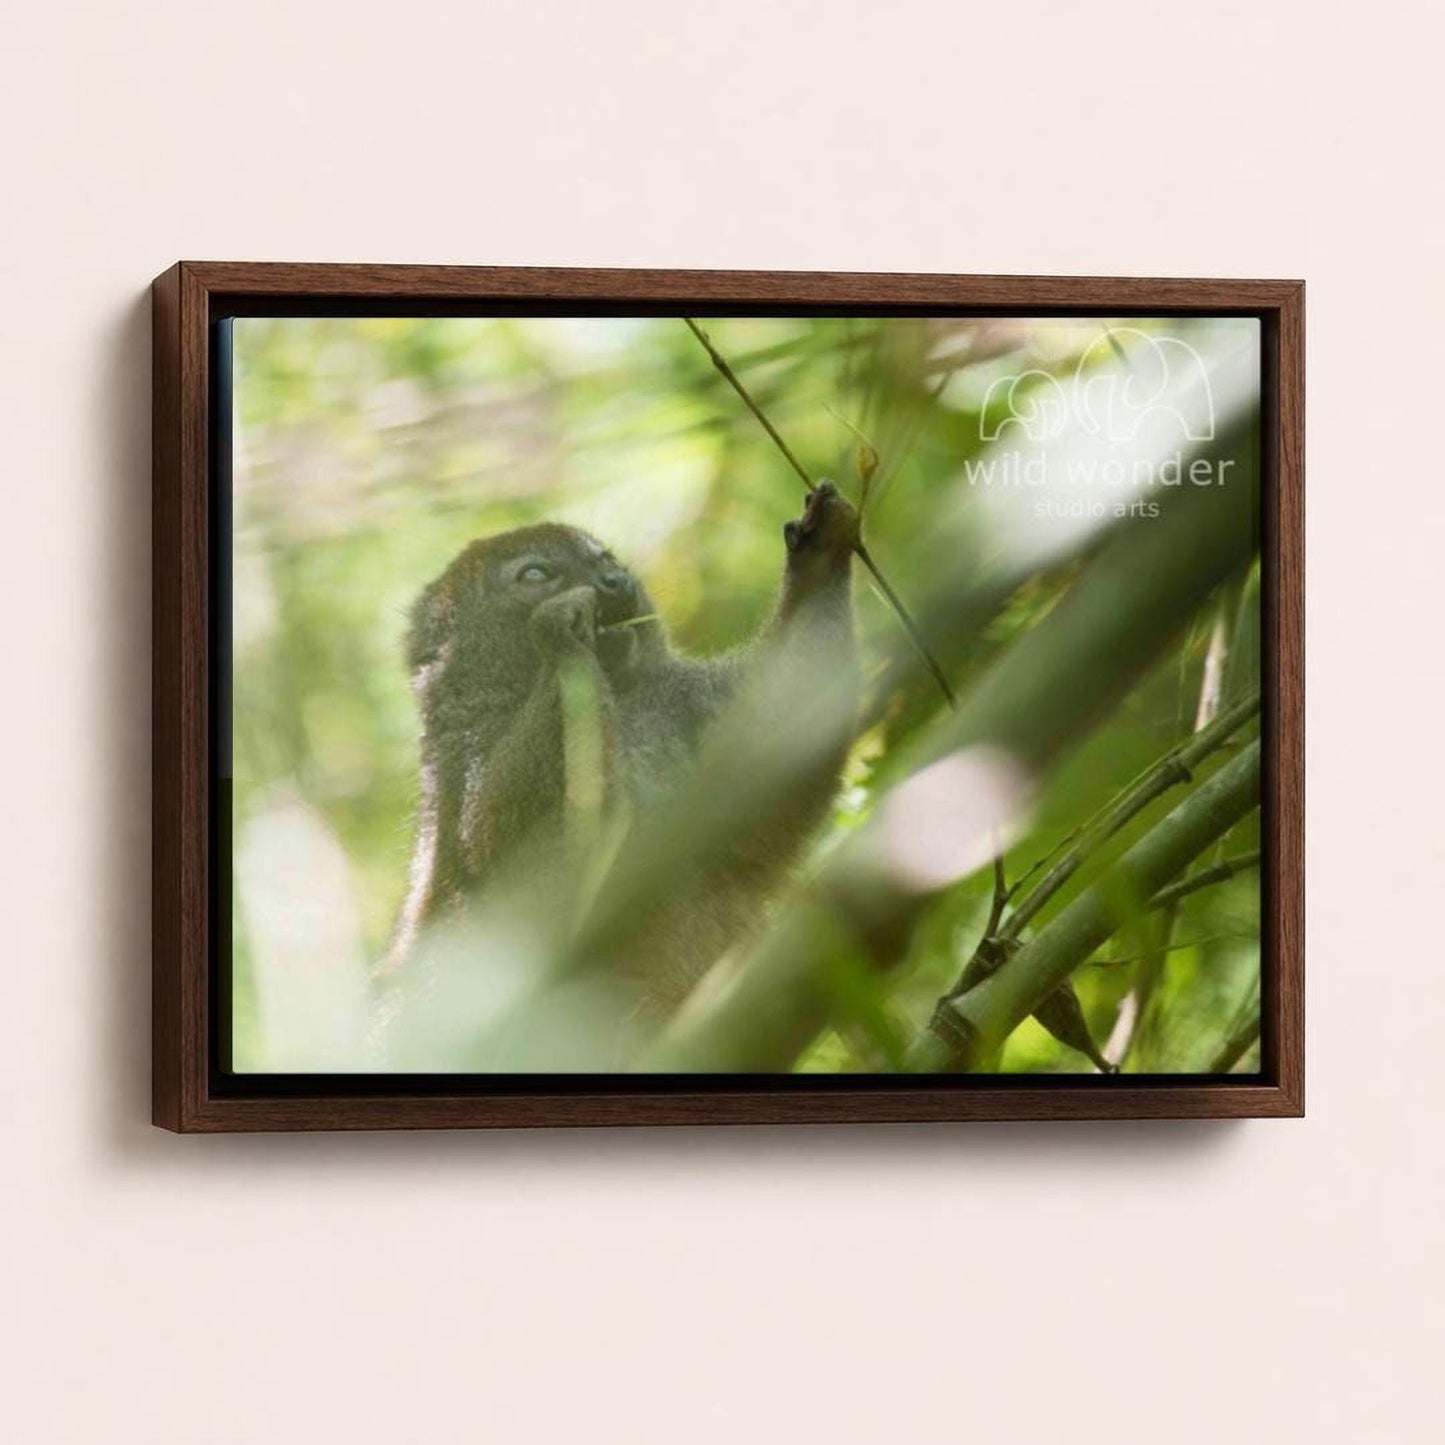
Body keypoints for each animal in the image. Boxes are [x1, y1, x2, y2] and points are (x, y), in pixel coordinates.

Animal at [377, 481, 860, 1034]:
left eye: (603, 558)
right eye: (537, 574)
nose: (613, 580)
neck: (627, 698)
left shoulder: (691, 705)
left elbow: (785, 744)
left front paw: (820, 554)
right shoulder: (462, 759)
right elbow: (502, 859)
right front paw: (562, 637)